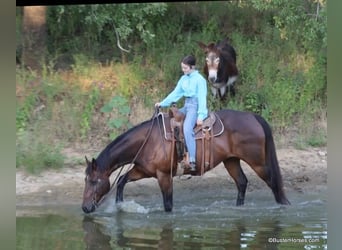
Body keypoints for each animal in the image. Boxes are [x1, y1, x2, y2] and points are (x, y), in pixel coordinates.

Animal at [81, 108, 290, 214]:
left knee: (273, 183)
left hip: (258, 163)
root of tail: (253, 117)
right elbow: (122, 180)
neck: (148, 140)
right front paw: (119, 205)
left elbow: (168, 204)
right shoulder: (142, 170)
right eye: (86, 180)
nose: (85, 208)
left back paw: (284, 206)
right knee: (242, 182)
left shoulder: (164, 175)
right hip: (231, 161)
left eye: (94, 181)